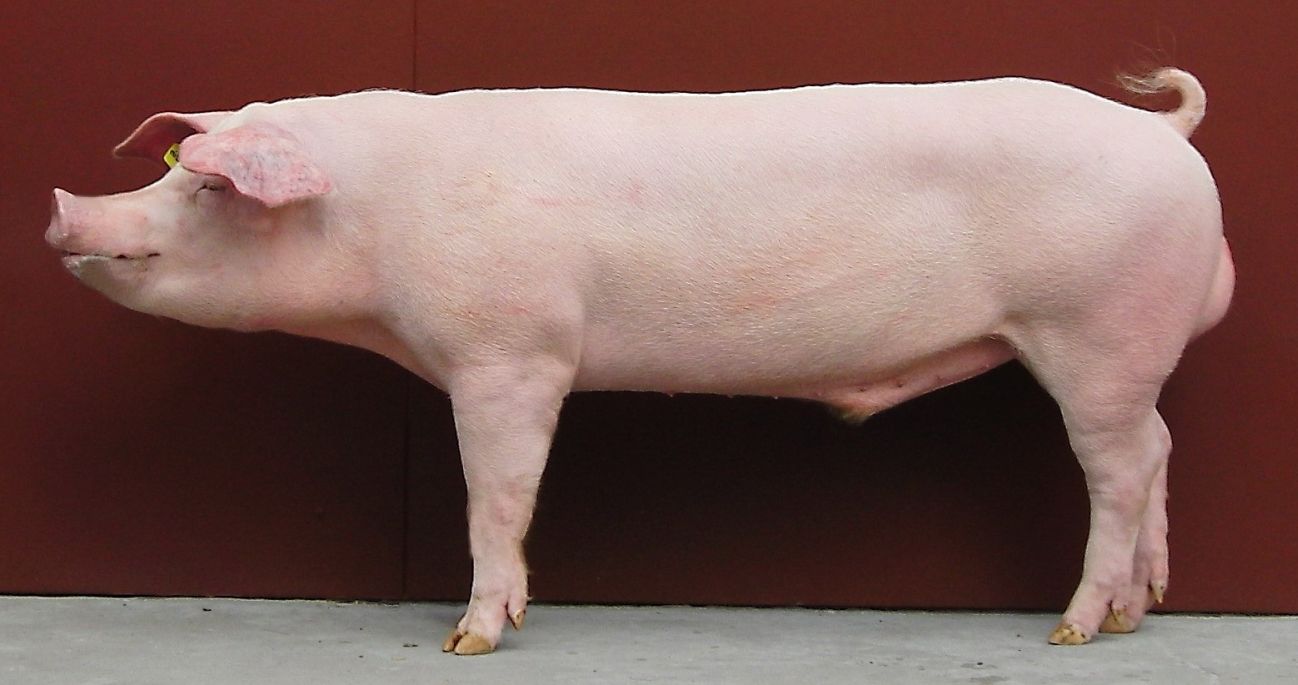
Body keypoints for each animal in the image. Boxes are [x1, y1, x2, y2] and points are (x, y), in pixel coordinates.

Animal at [45, 68, 1230, 653]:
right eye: (167, 166)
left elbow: (495, 495)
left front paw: (469, 640)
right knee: (1163, 447)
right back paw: (1138, 610)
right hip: (1125, 355)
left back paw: (1072, 630)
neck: (379, 224)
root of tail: (1166, 138)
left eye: (208, 186)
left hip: (1096, 332)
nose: (64, 206)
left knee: (1121, 469)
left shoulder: (512, 349)